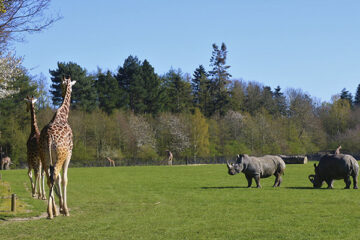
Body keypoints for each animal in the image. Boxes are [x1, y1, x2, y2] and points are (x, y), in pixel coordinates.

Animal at [39, 76, 76, 218]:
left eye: (61, 85)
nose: (61, 92)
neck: (63, 116)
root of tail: (49, 138)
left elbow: (59, 179)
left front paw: (59, 208)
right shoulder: (69, 154)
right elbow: (64, 179)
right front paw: (64, 209)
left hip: (44, 157)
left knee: (50, 178)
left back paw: (51, 211)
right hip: (60, 156)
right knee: (53, 176)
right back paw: (52, 212)